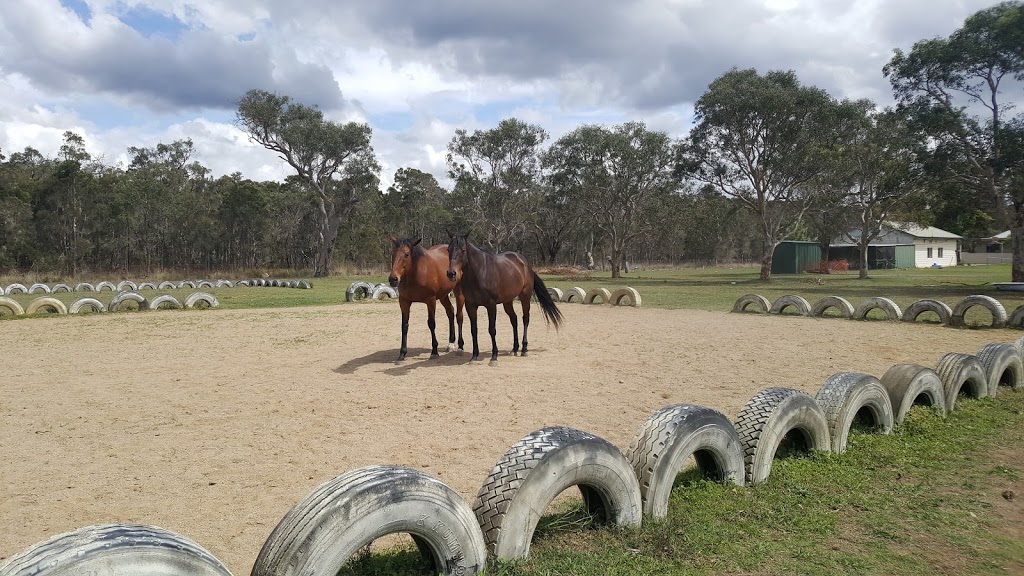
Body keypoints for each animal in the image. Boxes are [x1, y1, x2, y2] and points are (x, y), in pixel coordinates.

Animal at [446, 231, 565, 362]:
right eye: (448, 249)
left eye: (463, 250)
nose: (451, 273)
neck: (479, 272)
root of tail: (525, 263)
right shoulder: (470, 306)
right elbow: (474, 330)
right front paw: (474, 355)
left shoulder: (491, 305)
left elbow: (492, 329)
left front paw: (494, 356)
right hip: (508, 302)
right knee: (514, 319)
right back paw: (514, 349)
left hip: (525, 297)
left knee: (525, 319)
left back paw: (524, 349)